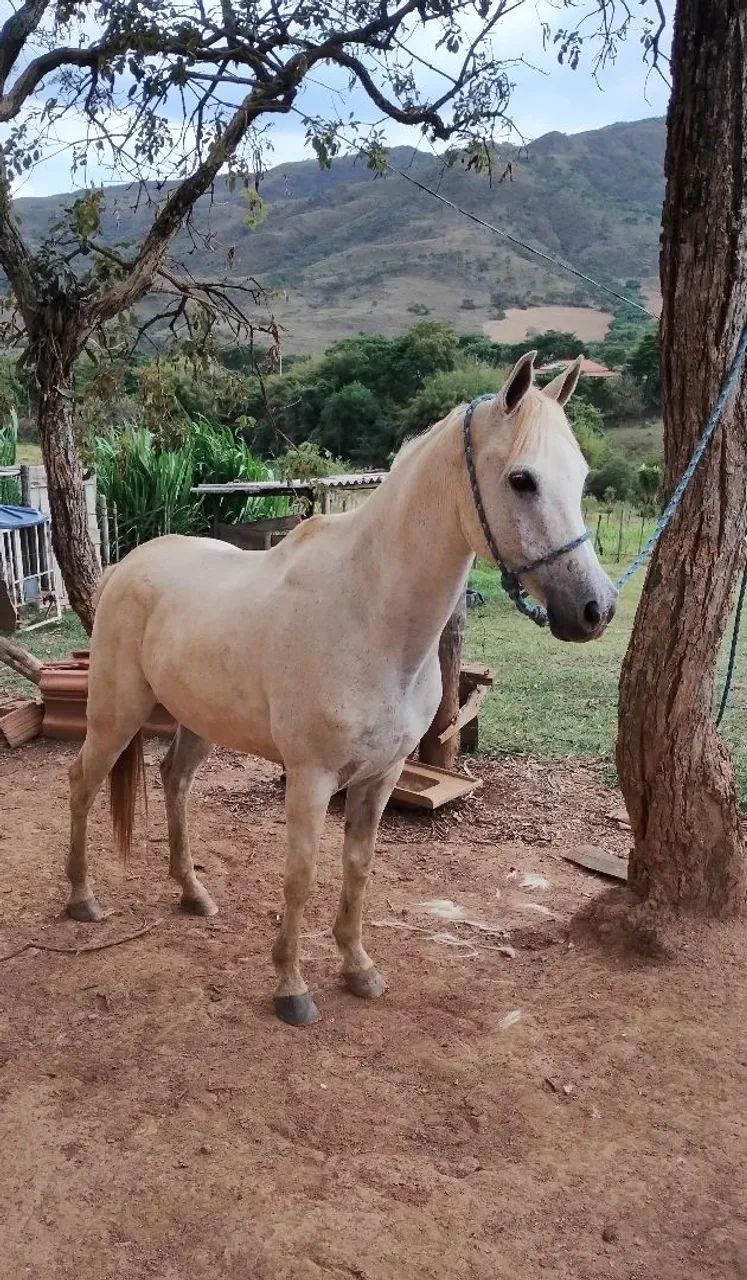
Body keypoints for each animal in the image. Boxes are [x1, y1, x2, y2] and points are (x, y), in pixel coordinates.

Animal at [66, 351, 617, 1025]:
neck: (369, 614)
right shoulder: (310, 777)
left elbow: (357, 869)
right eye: (522, 480)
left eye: (580, 476)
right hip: (117, 713)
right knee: (83, 781)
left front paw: (358, 969)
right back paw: (82, 899)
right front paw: (291, 987)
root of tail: (128, 566)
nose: (595, 609)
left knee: (175, 782)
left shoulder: (380, 776)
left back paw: (193, 894)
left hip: (198, 720)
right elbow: (301, 875)